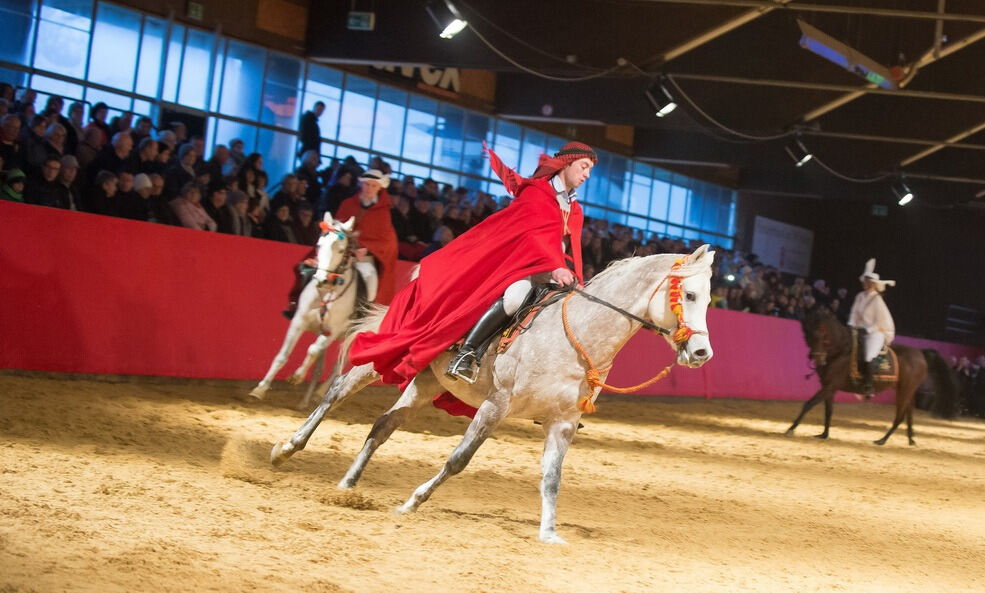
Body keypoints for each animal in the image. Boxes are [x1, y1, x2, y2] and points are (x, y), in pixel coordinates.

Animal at [246, 214, 376, 412]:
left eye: (341, 250)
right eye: (320, 245)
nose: (322, 279)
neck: (327, 292)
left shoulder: (331, 331)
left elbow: (312, 350)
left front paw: (297, 376)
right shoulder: (298, 322)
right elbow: (282, 356)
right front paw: (259, 390)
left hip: (349, 335)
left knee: (337, 365)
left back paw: (318, 393)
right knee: (320, 367)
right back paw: (305, 401)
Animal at [270, 245, 716, 540]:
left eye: (708, 299)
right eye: (689, 295)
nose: (701, 353)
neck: (577, 335)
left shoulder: (563, 422)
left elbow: (552, 478)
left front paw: (548, 533)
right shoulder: (495, 406)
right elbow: (458, 460)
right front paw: (413, 501)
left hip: (426, 381)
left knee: (383, 424)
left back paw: (347, 483)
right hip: (390, 355)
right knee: (337, 391)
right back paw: (286, 448)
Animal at [788, 306, 956, 444]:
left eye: (821, 334)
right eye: (806, 335)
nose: (816, 358)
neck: (841, 351)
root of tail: (920, 353)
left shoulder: (830, 386)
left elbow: (809, 404)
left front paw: (791, 428)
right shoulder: (829, 387)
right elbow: (828, 411)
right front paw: (824, 434)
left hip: (904, 390)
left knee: (900, 416)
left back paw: (882, 440)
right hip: (907, 390)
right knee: (909, 413)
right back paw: (910, 439)